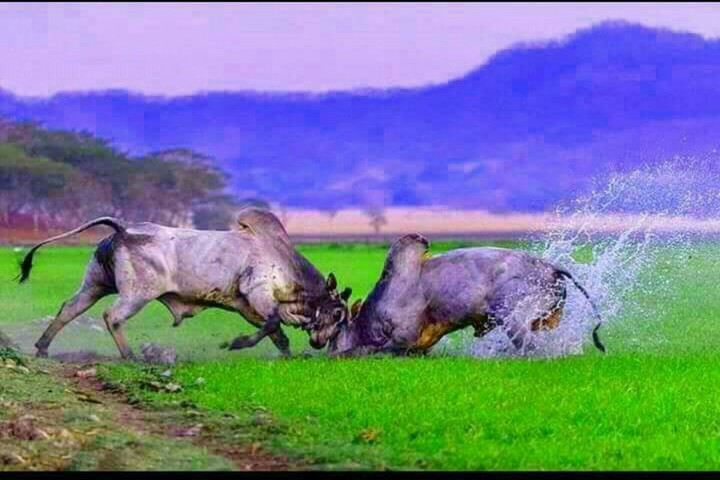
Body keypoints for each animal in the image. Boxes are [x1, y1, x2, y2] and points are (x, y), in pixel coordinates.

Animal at [18, 208, 352, 359]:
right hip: (136, 294)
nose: (321, 343)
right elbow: (272, 324)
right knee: (112, 317)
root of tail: (123, 229)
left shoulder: (246, 306)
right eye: (337, 313)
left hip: (95, 286)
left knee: (68, 309)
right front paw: (237, 343)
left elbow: (276, 331)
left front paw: (287, 355)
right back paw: (130, 356)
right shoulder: (257, 294)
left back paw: (42, 348)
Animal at [317, 234, 605, 357]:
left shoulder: (402, 337)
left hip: (513, 318)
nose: (321, 346)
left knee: (533, 348)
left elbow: (368, 350)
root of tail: (552, 267)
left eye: (337, 329)